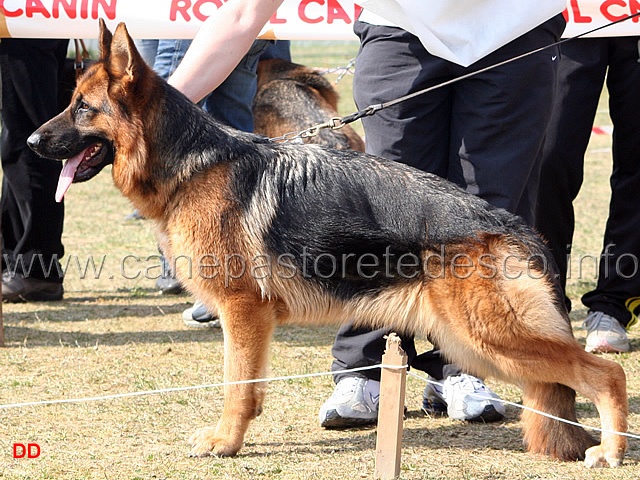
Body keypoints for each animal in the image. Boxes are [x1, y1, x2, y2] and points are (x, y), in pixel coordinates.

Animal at [27, 20, 628, 466]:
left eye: (83, 107)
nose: (31, 141)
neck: (192, 165)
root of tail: (508, 224)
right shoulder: (249, 319)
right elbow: (250, 387)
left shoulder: (243, 311)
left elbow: (236, 385)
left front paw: (225, 442)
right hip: (473, 342)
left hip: (490, 336)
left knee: (608, 374)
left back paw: (610, 450)